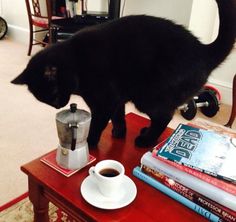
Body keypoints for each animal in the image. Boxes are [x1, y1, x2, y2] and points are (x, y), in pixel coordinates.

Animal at [11, 1, 236, 149]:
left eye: (54, 94)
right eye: (46, 100)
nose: (58, 106)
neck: (77, 61)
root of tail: (203, 51)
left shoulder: (105, 101)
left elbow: (98, 123)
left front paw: (90, 143)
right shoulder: (116, 99)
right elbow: (119, 117)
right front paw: (119, 134)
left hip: (147, 97)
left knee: (165, 116)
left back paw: (146, 140)